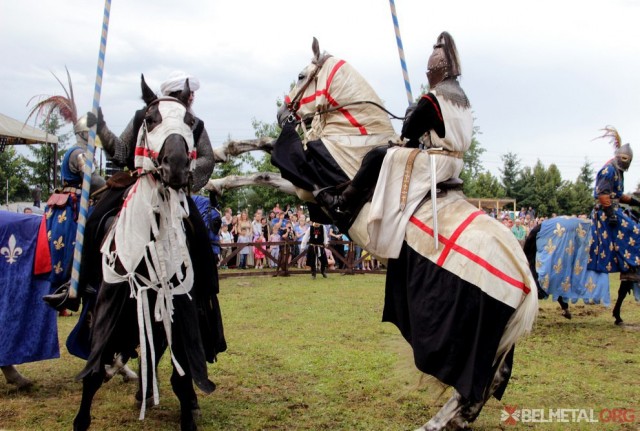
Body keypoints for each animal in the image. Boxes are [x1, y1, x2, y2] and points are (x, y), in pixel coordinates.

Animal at [73, 77, 220, 431]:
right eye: (151, 119)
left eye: (190, 122)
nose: (176, 166)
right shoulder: (106, 308)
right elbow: (94, 371)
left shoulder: (180, 310)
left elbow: (182, 376)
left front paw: (188, 413)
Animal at [208, 38, 536, 430]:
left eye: (302, 75)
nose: (282, 112)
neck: (354, 137)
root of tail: (527, 282)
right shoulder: (305, 181)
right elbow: (262, 152)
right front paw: (216, 160)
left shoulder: (306, 183)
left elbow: (265, 166)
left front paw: (214, 179)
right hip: (498, 342)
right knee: (487, 385)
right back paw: (452, 422)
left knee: (469, 389)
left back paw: (433, 424)